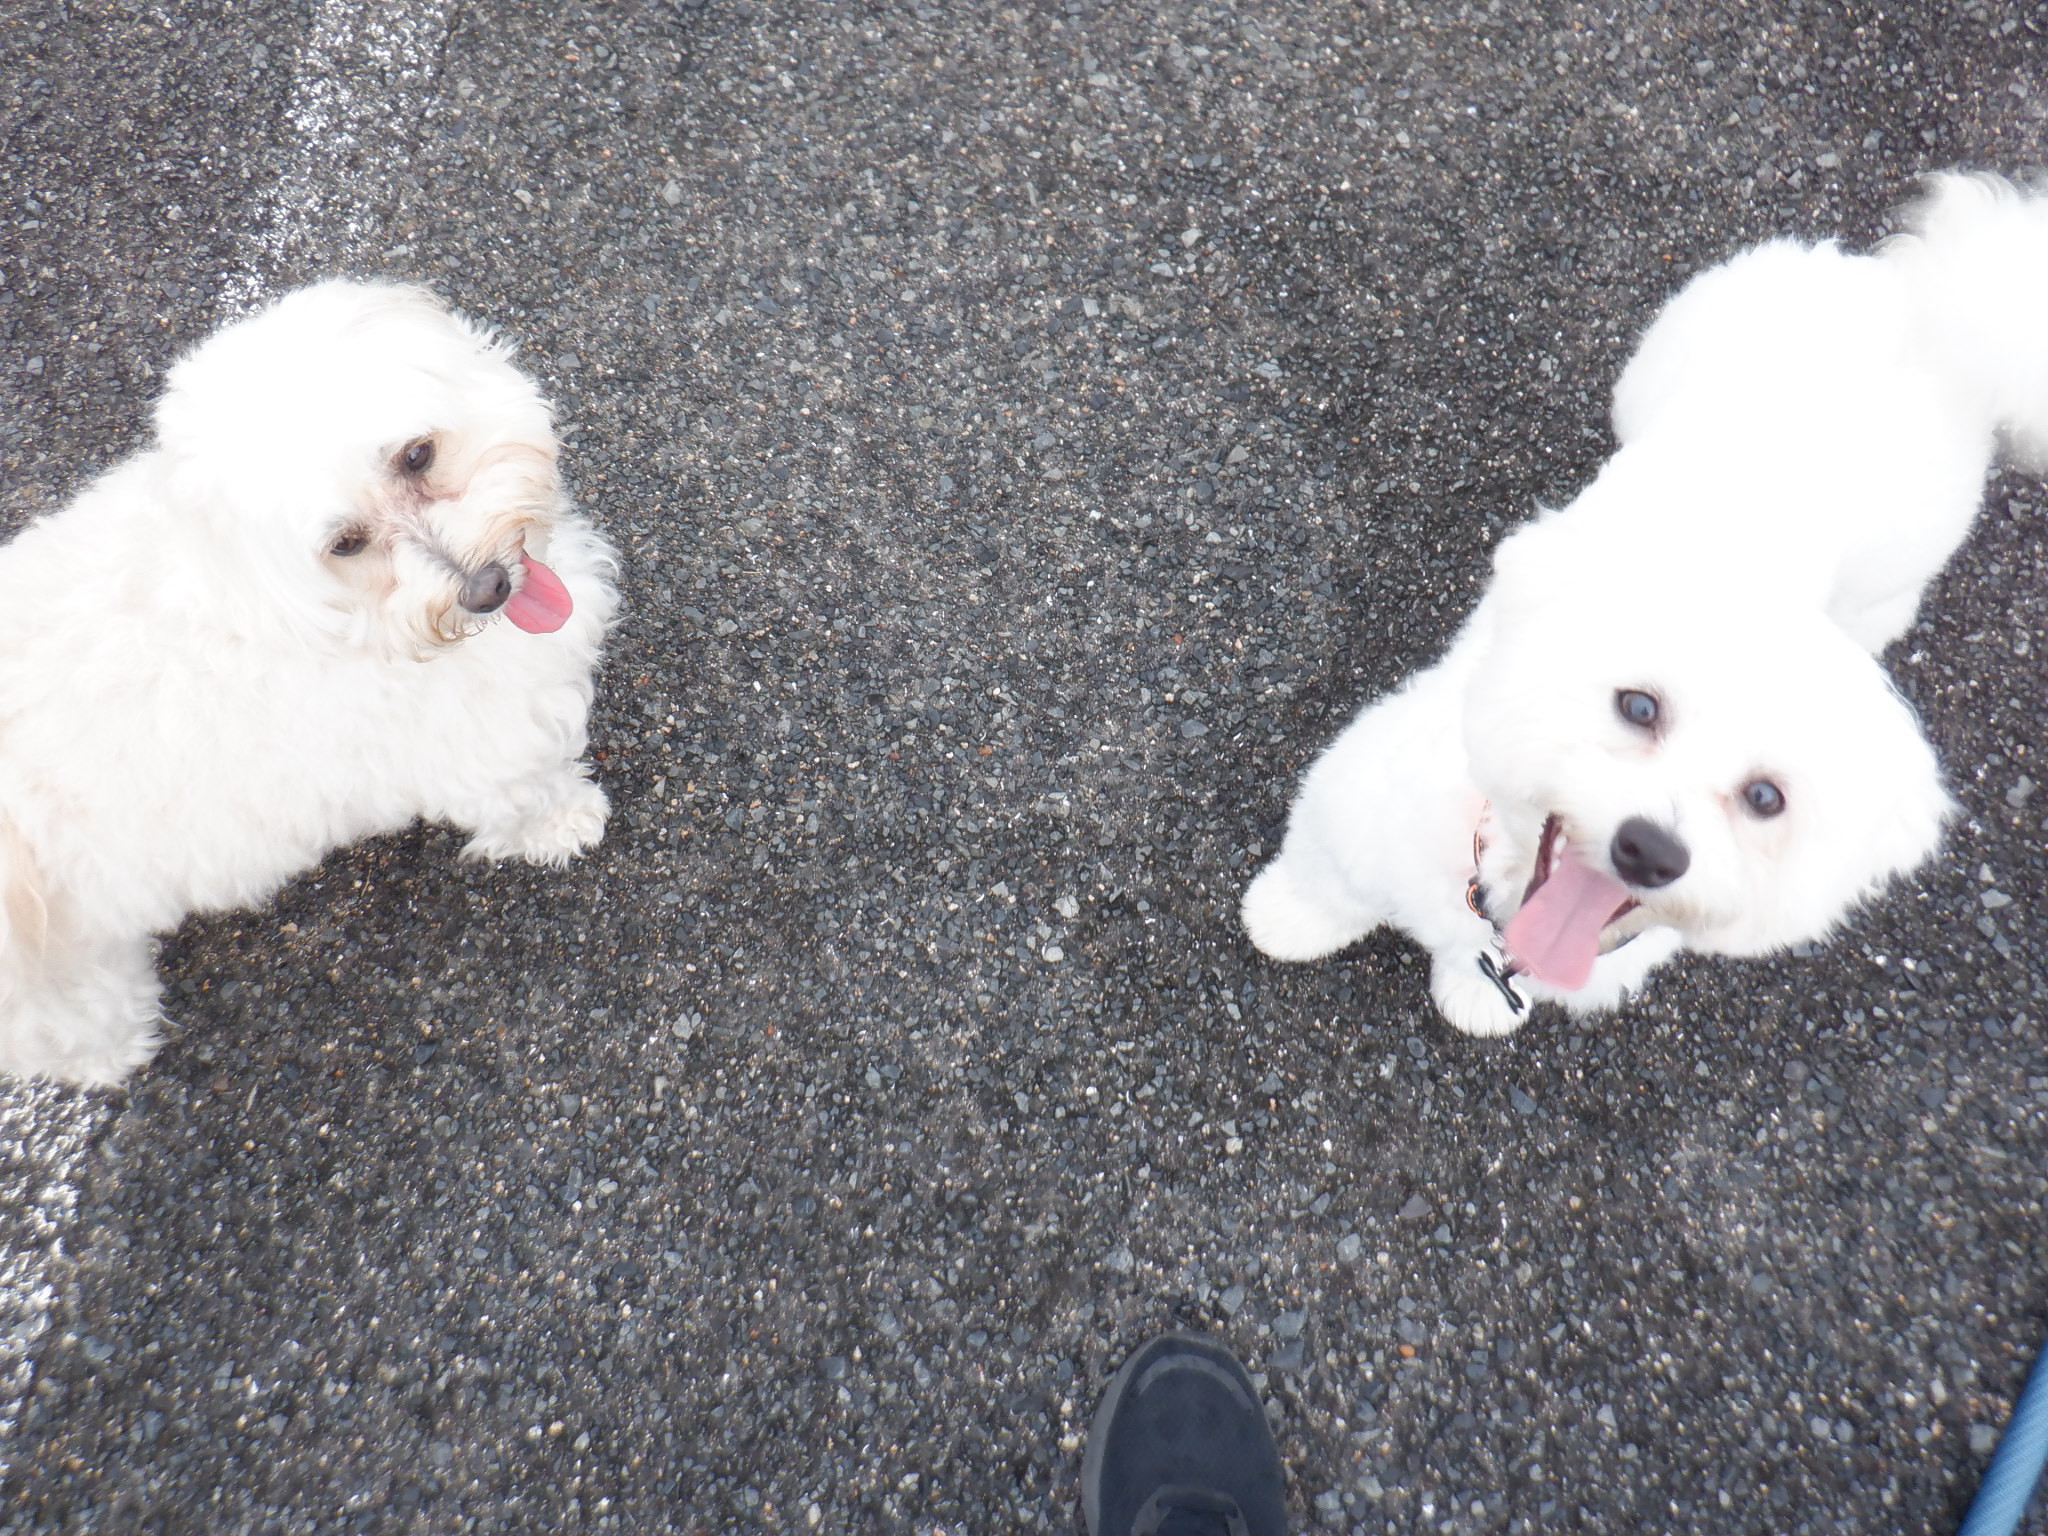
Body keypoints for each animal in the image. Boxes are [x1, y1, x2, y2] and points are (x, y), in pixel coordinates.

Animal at [0, 280, 616, 1083]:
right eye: (345, 544)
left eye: (418, 454)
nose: (485, 588)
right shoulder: (482, 749)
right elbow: (528, 795)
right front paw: (566, 822)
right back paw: (115, 1050)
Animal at [1244, 172, 2048, 1037]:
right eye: (1637, 706)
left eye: (1766, 799)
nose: (1652, 851)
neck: (1500, 885)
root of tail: (1925, 305)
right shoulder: (1353, 801)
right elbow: (1326, 883)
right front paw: (1287, 918)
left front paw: (1477, 994)